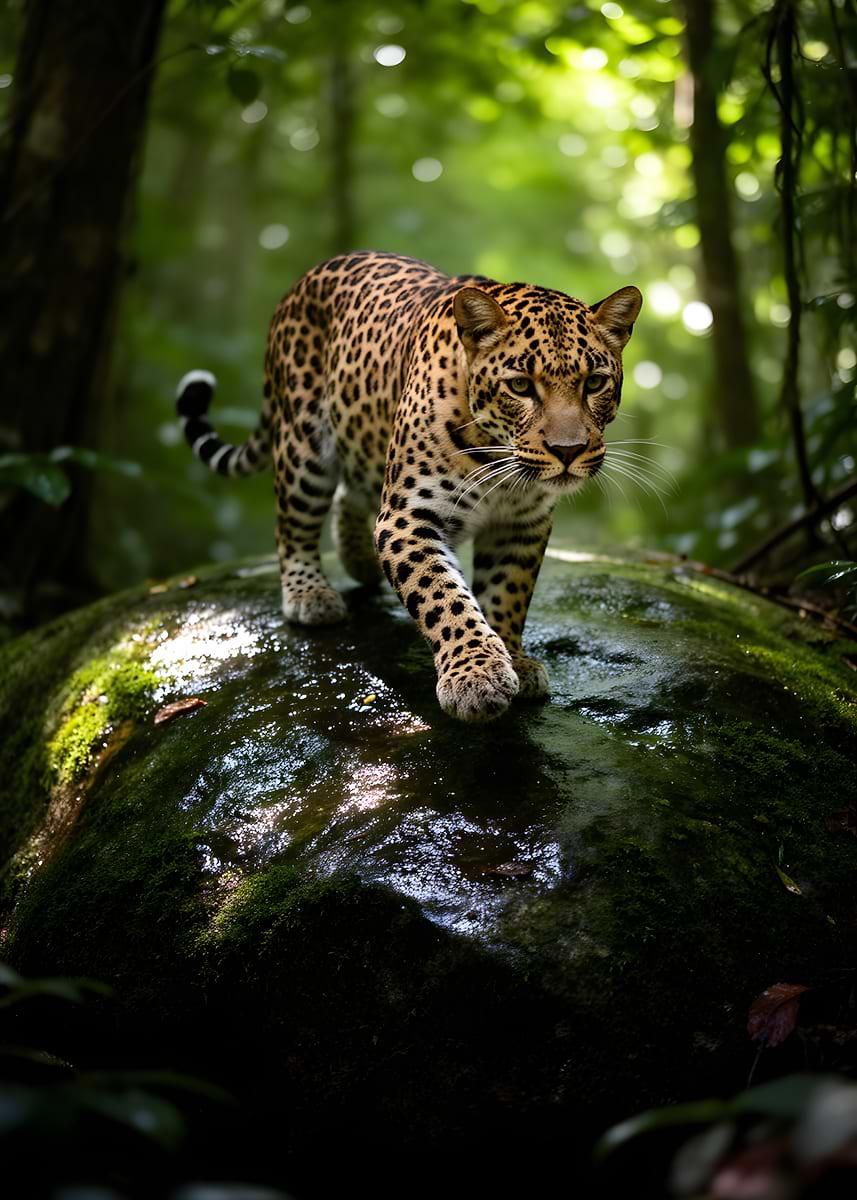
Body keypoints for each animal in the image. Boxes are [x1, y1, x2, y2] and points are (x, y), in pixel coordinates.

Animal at [176, 251, 642, 723]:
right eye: (520, 386)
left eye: (594, 383)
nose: (569, 450)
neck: (499, 464)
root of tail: (307, 278)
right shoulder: (407, 517)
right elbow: (444, 598)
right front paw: (475, 674)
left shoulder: (523, 525)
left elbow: (507, 593)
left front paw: (514, 658)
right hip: (303, 446)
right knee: (293, 525)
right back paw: (309, 593)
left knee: (350, 493)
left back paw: (358, 560)